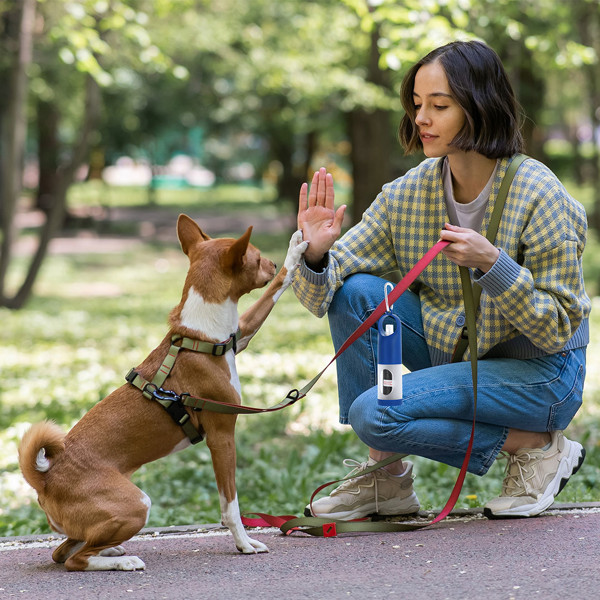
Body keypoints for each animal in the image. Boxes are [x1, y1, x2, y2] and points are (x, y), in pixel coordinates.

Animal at [17, 216, 310, 572]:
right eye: (255, 258)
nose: (271, 263)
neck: (200, 338)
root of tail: (46, 480)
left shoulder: (239, 336)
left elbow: (272, 292)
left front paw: (294, 252)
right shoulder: (222, 436)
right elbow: (231, 506)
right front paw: (244, 543)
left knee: (64, 550)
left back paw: (111, 551)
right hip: (137, 504)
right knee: (74, 560)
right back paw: (123, 560)